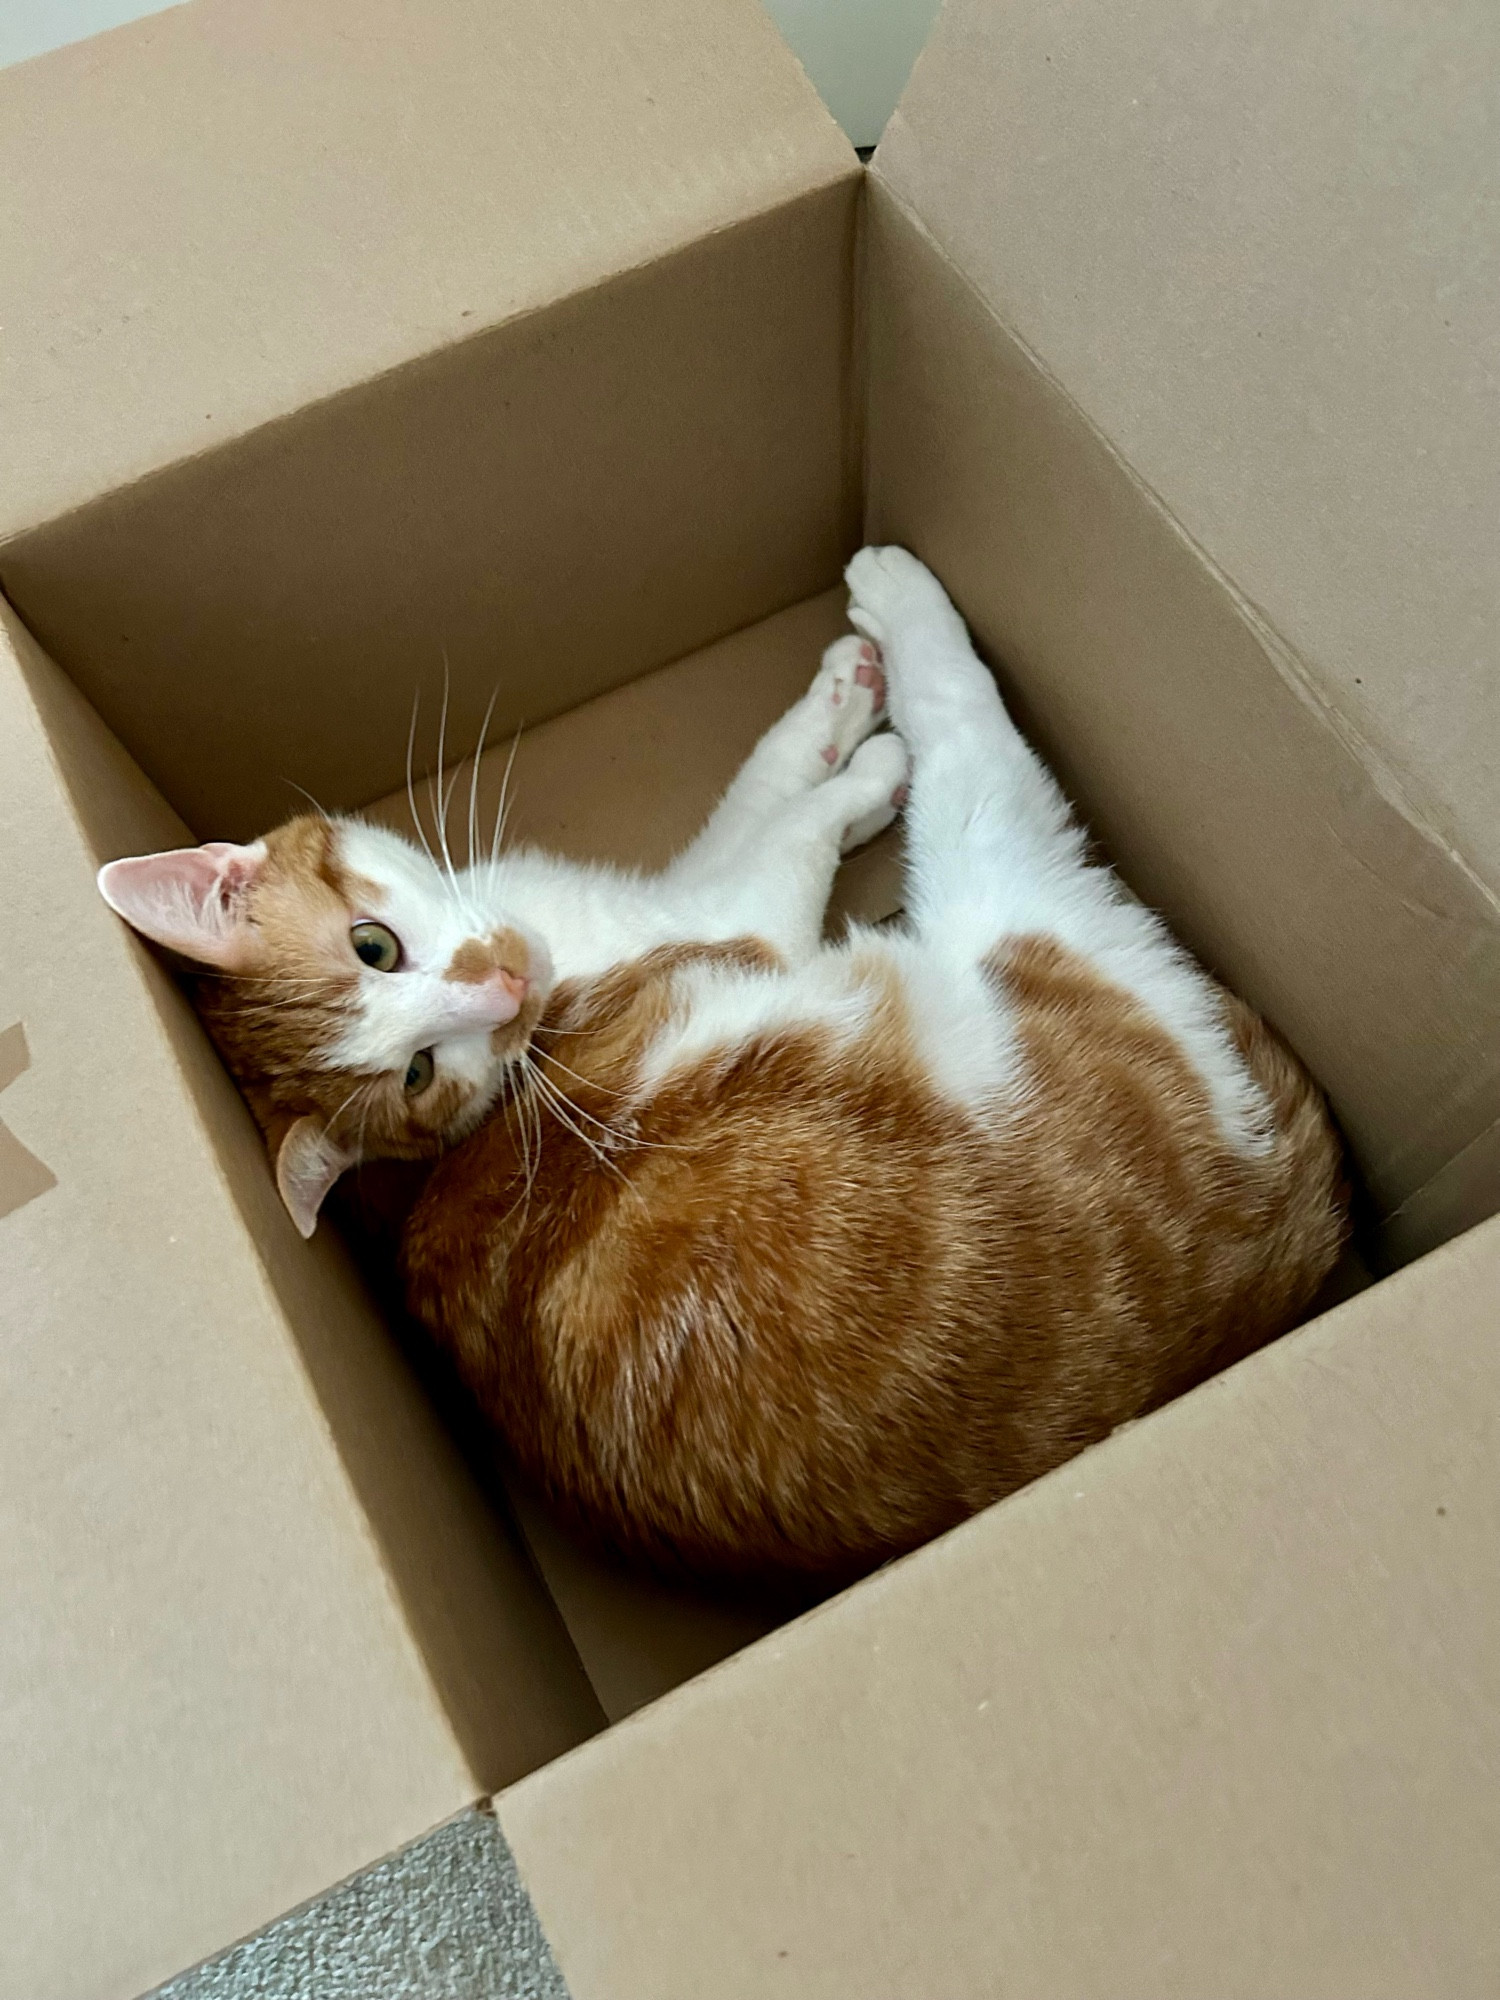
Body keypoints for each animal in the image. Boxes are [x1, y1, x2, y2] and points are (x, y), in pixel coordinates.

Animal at [100, 544, 1360, 1576]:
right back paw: (902, 597)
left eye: (375, 945)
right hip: (1020, 904)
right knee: (976, 741)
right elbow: (799, 822)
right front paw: (872, 763)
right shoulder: (742, 915)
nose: (503, 989)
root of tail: (1288, 1255)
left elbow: (766, 775)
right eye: (421, 1073)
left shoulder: (691, 880)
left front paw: (843, 698)